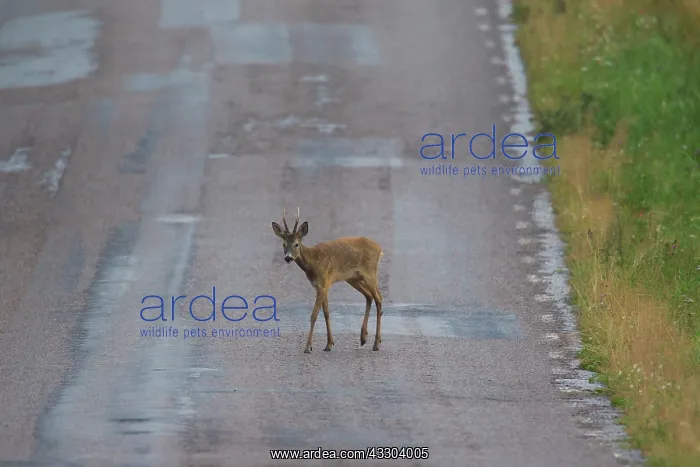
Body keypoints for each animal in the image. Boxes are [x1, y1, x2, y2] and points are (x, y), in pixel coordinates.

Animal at [271, 207, 384, 353]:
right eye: (284, 244)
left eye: (296, 244)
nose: (288, 258)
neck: (313, 262)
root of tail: (379, 248)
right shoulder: (320, 286)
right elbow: (326, 313)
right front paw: (329, 344)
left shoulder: (324, 282)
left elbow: (314, 314)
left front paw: (308, 347)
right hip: (353, 278)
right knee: (369, 296)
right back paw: (363, 338)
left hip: (370, 273)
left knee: (379, 298)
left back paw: (376, 343)